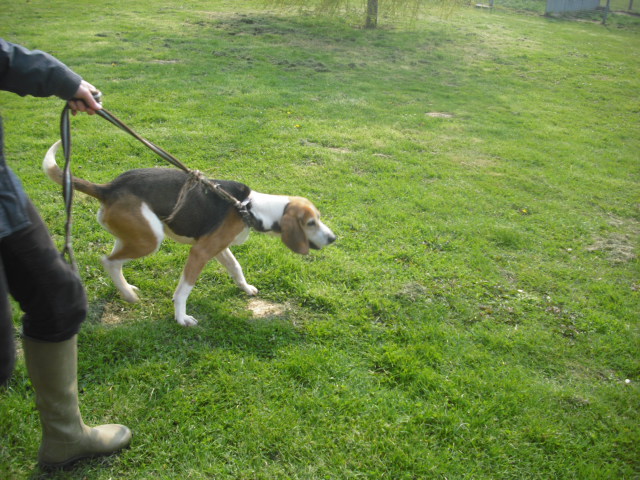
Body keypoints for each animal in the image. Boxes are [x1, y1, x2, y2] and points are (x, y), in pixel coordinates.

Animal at [43, 139, 338, 326]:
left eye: (318, 219)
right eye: (310, 223)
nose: (333, 238)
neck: (249, 206)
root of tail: (108, 188)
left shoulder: (219, 248)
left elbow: (236, 267)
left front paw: (245, 288)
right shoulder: (200, 252)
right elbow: (184, 290)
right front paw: (181, 317)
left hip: (134, 235)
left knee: (115, 260)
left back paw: (126, 289)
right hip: (151, 240)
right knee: (108, 261)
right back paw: (128, 295)